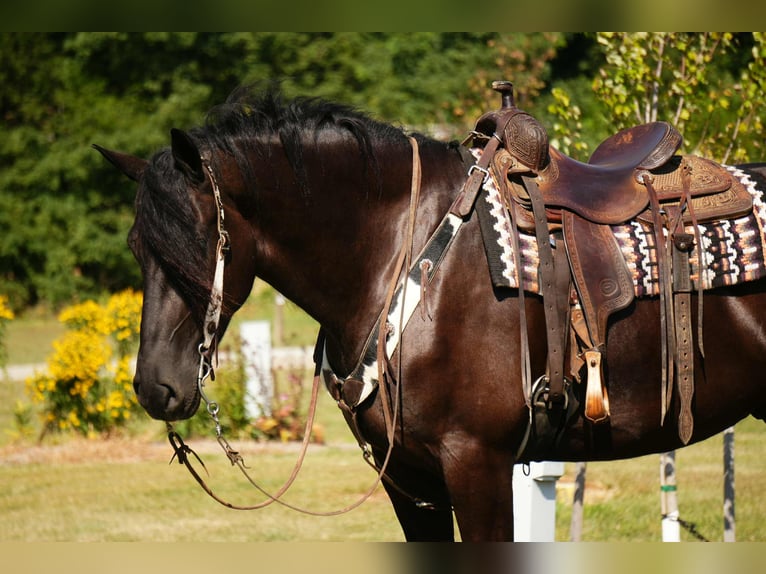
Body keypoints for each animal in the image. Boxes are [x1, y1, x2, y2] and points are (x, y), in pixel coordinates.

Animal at [95, 86, 766, 541]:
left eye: (198, 244)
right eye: (138, 249)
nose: (155, 387)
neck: (404, 257)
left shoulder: (478, 466)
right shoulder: (411, 485)